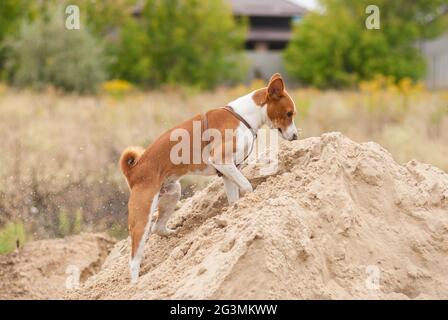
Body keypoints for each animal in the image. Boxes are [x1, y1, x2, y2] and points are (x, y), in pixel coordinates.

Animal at [121, 73, 300, 282]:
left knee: (158, 228)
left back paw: (174, 233)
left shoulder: (229, 172)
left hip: (172, 193)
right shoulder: (221, 161)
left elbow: (235, 198)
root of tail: (134, 170)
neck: (244, 117)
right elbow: (247, 186)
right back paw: (136, 283)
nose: (296, 136)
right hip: (143, 216)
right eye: (289, 113)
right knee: (134, 260)